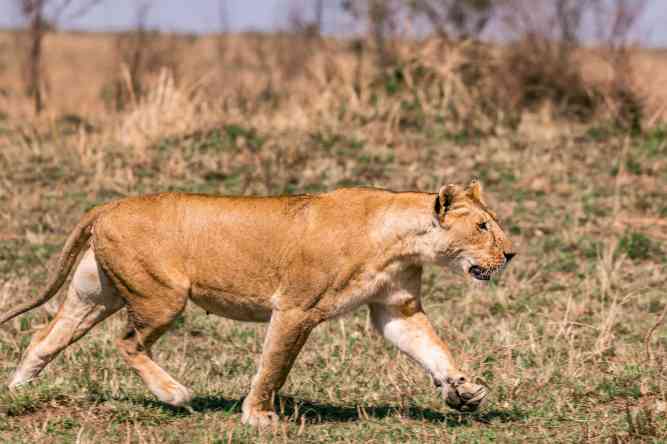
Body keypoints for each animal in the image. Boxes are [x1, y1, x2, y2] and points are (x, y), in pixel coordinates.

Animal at [0, 181, 514, 426]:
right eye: (483, 226)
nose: (511, 254)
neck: (403, 241)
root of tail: (107, 206)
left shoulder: (397, 308)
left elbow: (432, 349)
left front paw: (464, 390)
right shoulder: (297, 307)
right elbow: (275, 363)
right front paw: (259, 415)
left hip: (94, 295)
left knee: (46, 337)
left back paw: (17, 391)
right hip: (163, 296)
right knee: (126, 341)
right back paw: (173, 393)